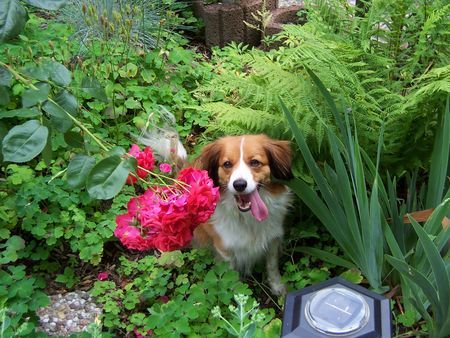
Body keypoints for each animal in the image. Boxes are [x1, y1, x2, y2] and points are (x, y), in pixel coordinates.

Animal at [192, 135, 292, 296]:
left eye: (255, 162)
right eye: (227, 164)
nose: (239, 184)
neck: (247, 217)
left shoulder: (272, 240)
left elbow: (272, 266)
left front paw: (277, 286)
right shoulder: (225, 249)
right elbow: (231, 276)